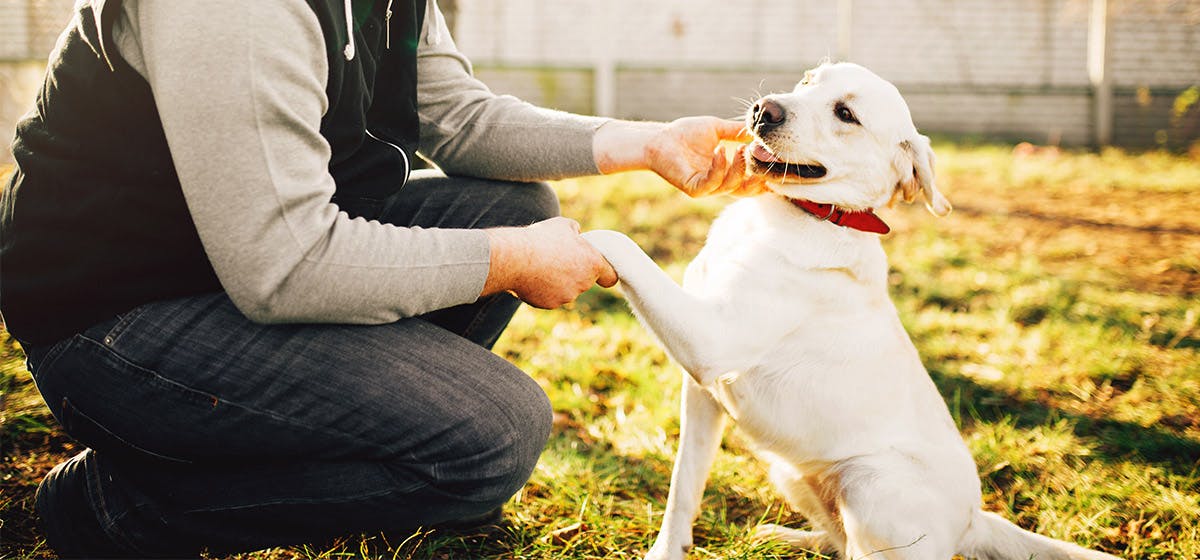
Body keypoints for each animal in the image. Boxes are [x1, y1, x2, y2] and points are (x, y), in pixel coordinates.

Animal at [585, 62, 1118, 560]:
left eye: (846, 115)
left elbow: (616, 241)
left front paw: (570, 237)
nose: (763, 110)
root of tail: (974, 520)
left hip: (870, 485)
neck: (802, 216)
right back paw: (781, 535)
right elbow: (684, 486)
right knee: (836, 541)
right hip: (793, 472)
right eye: (807, 80)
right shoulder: (701, 394)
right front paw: (667, 549)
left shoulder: (710, 342)